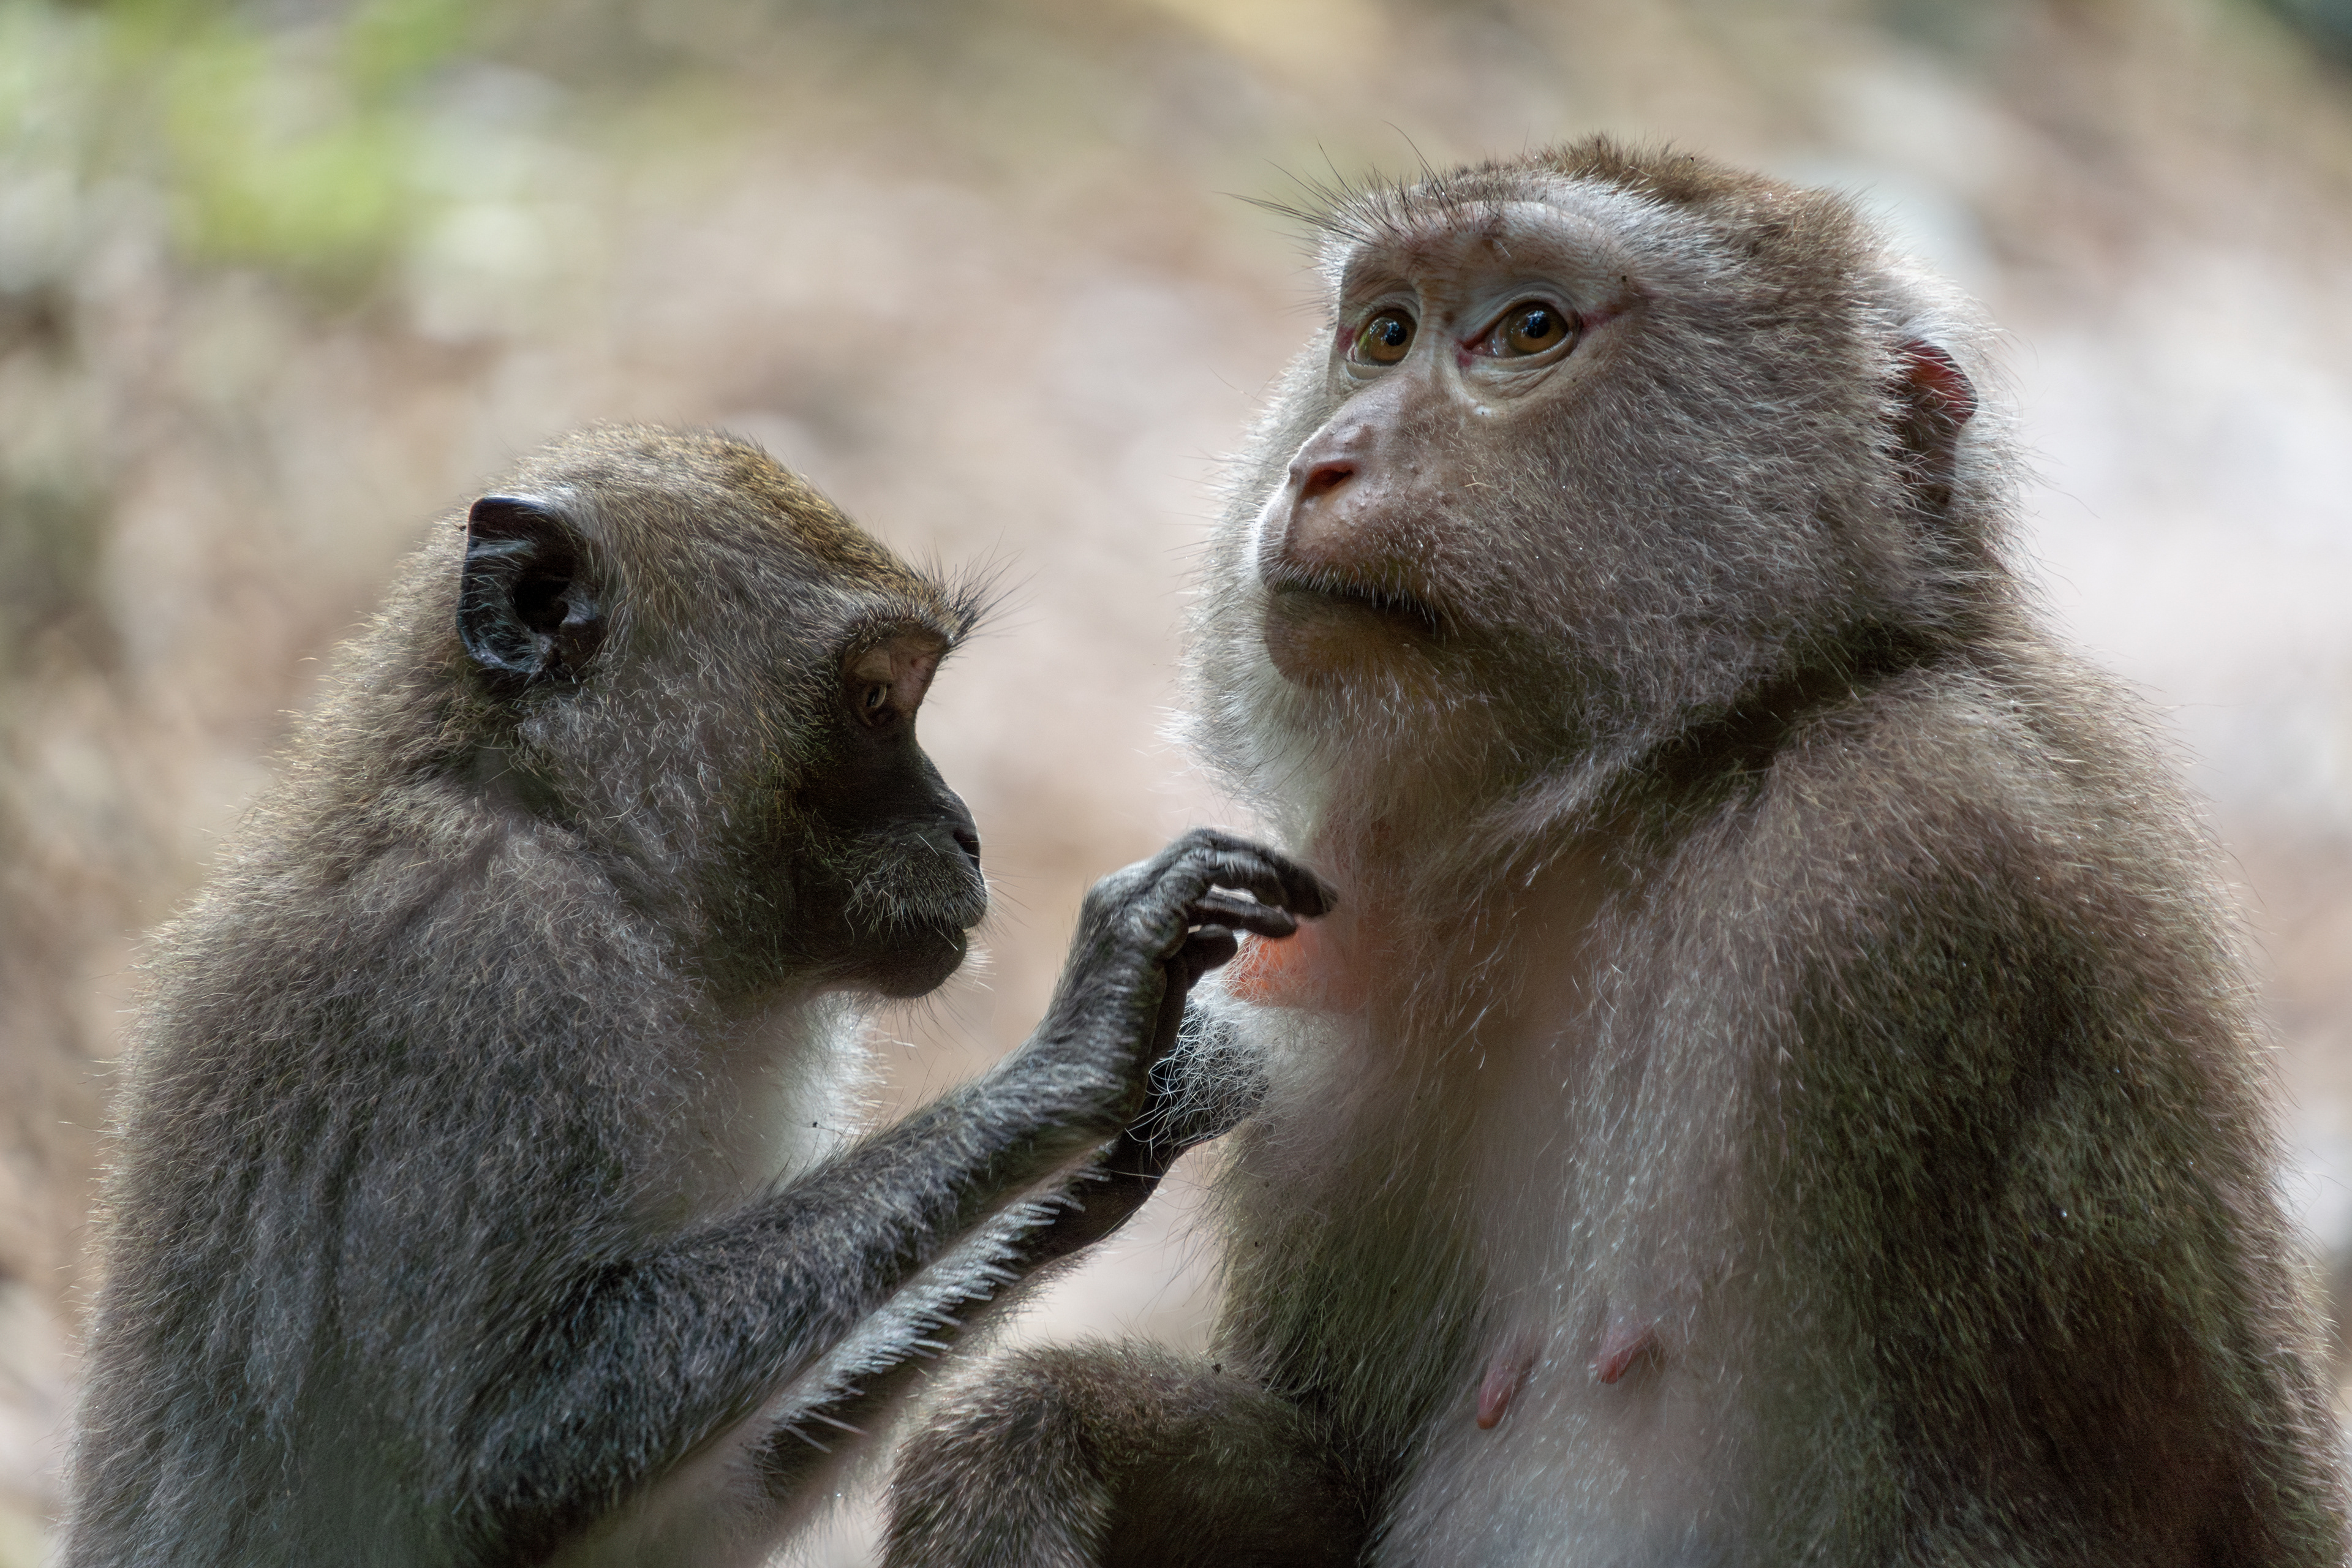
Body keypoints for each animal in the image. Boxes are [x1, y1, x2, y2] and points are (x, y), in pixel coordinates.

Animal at [58, 425, 1334, 1568]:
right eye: (878, 703)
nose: (966, 832)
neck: (586, 845)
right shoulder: (484, 976)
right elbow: (492, 1463)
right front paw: (1083, 1051)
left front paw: (1139, 1132)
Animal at [882, 140, 2352, 1566]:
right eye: (1383, 334)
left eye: (1529, 328)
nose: (1325, 460)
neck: (1648, 810)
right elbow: (1329, 1473)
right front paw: (1033, 1437)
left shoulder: (1934, 879)